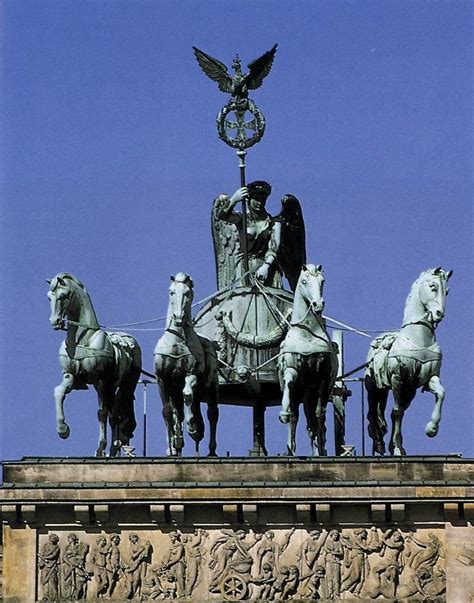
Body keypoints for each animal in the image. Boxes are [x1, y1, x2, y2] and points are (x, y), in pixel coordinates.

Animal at [47, 274, 142, 458]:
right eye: (49, 297)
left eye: (62, 296)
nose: (54, 322)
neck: (82, 339)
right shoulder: (71, 376)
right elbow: (58, 391)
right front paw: (63, 429)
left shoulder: (101, 381)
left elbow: (102, 413)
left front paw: (100, 448)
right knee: (114, 415)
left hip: (124, 385)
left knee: (114, 415)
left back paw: (114, 446)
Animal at [156, 272, 220, 456]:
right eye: (171, 292)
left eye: (188, 293)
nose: (178, 317)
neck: (177, 340)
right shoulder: (162, 380)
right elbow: (168, 412)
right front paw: (174, 446)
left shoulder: (191, 374)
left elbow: (188, 394)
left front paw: (193, 428)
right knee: (178, 413)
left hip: (212, 387)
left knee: (212, 414)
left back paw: (211, 450)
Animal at [280, 262, 338, 456]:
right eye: (304, 281)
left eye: (323, 281)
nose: (318, 304)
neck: (308, 334)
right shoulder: (293, 371)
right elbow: (288, 386)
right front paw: (283, 413)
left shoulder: (323, 378)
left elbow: (319, 415)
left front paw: (320, 449)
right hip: (302, 393)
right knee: (296, 416)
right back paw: (290, 448)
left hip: (312, 395)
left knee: (314, 421)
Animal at [364, 266, 454, 456]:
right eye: (433, 287)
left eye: (447, 291)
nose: (439, 314)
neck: (419, 339)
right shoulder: (399, 379)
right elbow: (397, 412)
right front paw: (397, 448)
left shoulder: (429, 379)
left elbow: (441, 393)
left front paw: (432, 429)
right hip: (375, 388)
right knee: (374, 413)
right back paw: (379, 442)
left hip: (409, 392)